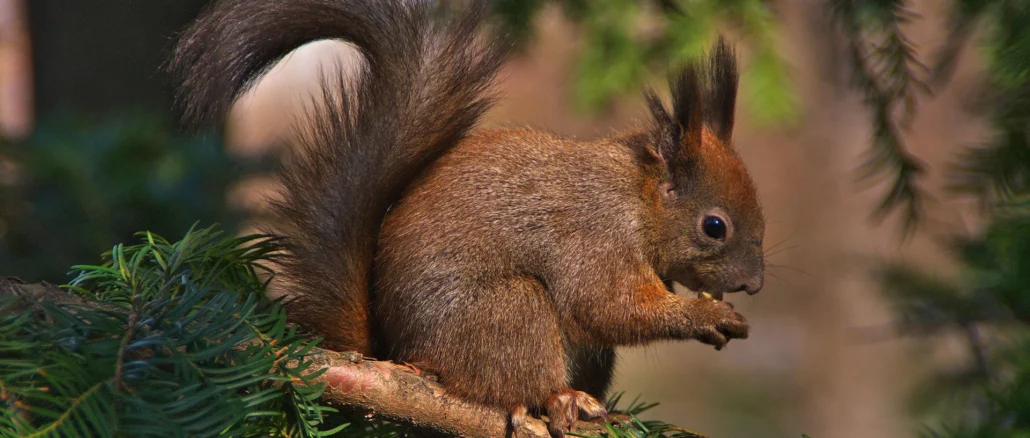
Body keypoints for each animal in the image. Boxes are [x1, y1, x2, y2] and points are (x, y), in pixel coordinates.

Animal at [170, 0, 764, 436]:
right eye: (715, 226)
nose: (755, 285)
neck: (637, 198)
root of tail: (401, 353)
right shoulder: (594, 235)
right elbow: (610, 306)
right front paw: (705, 316)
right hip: (504, 313)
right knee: (513, 377)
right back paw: (560, 398)